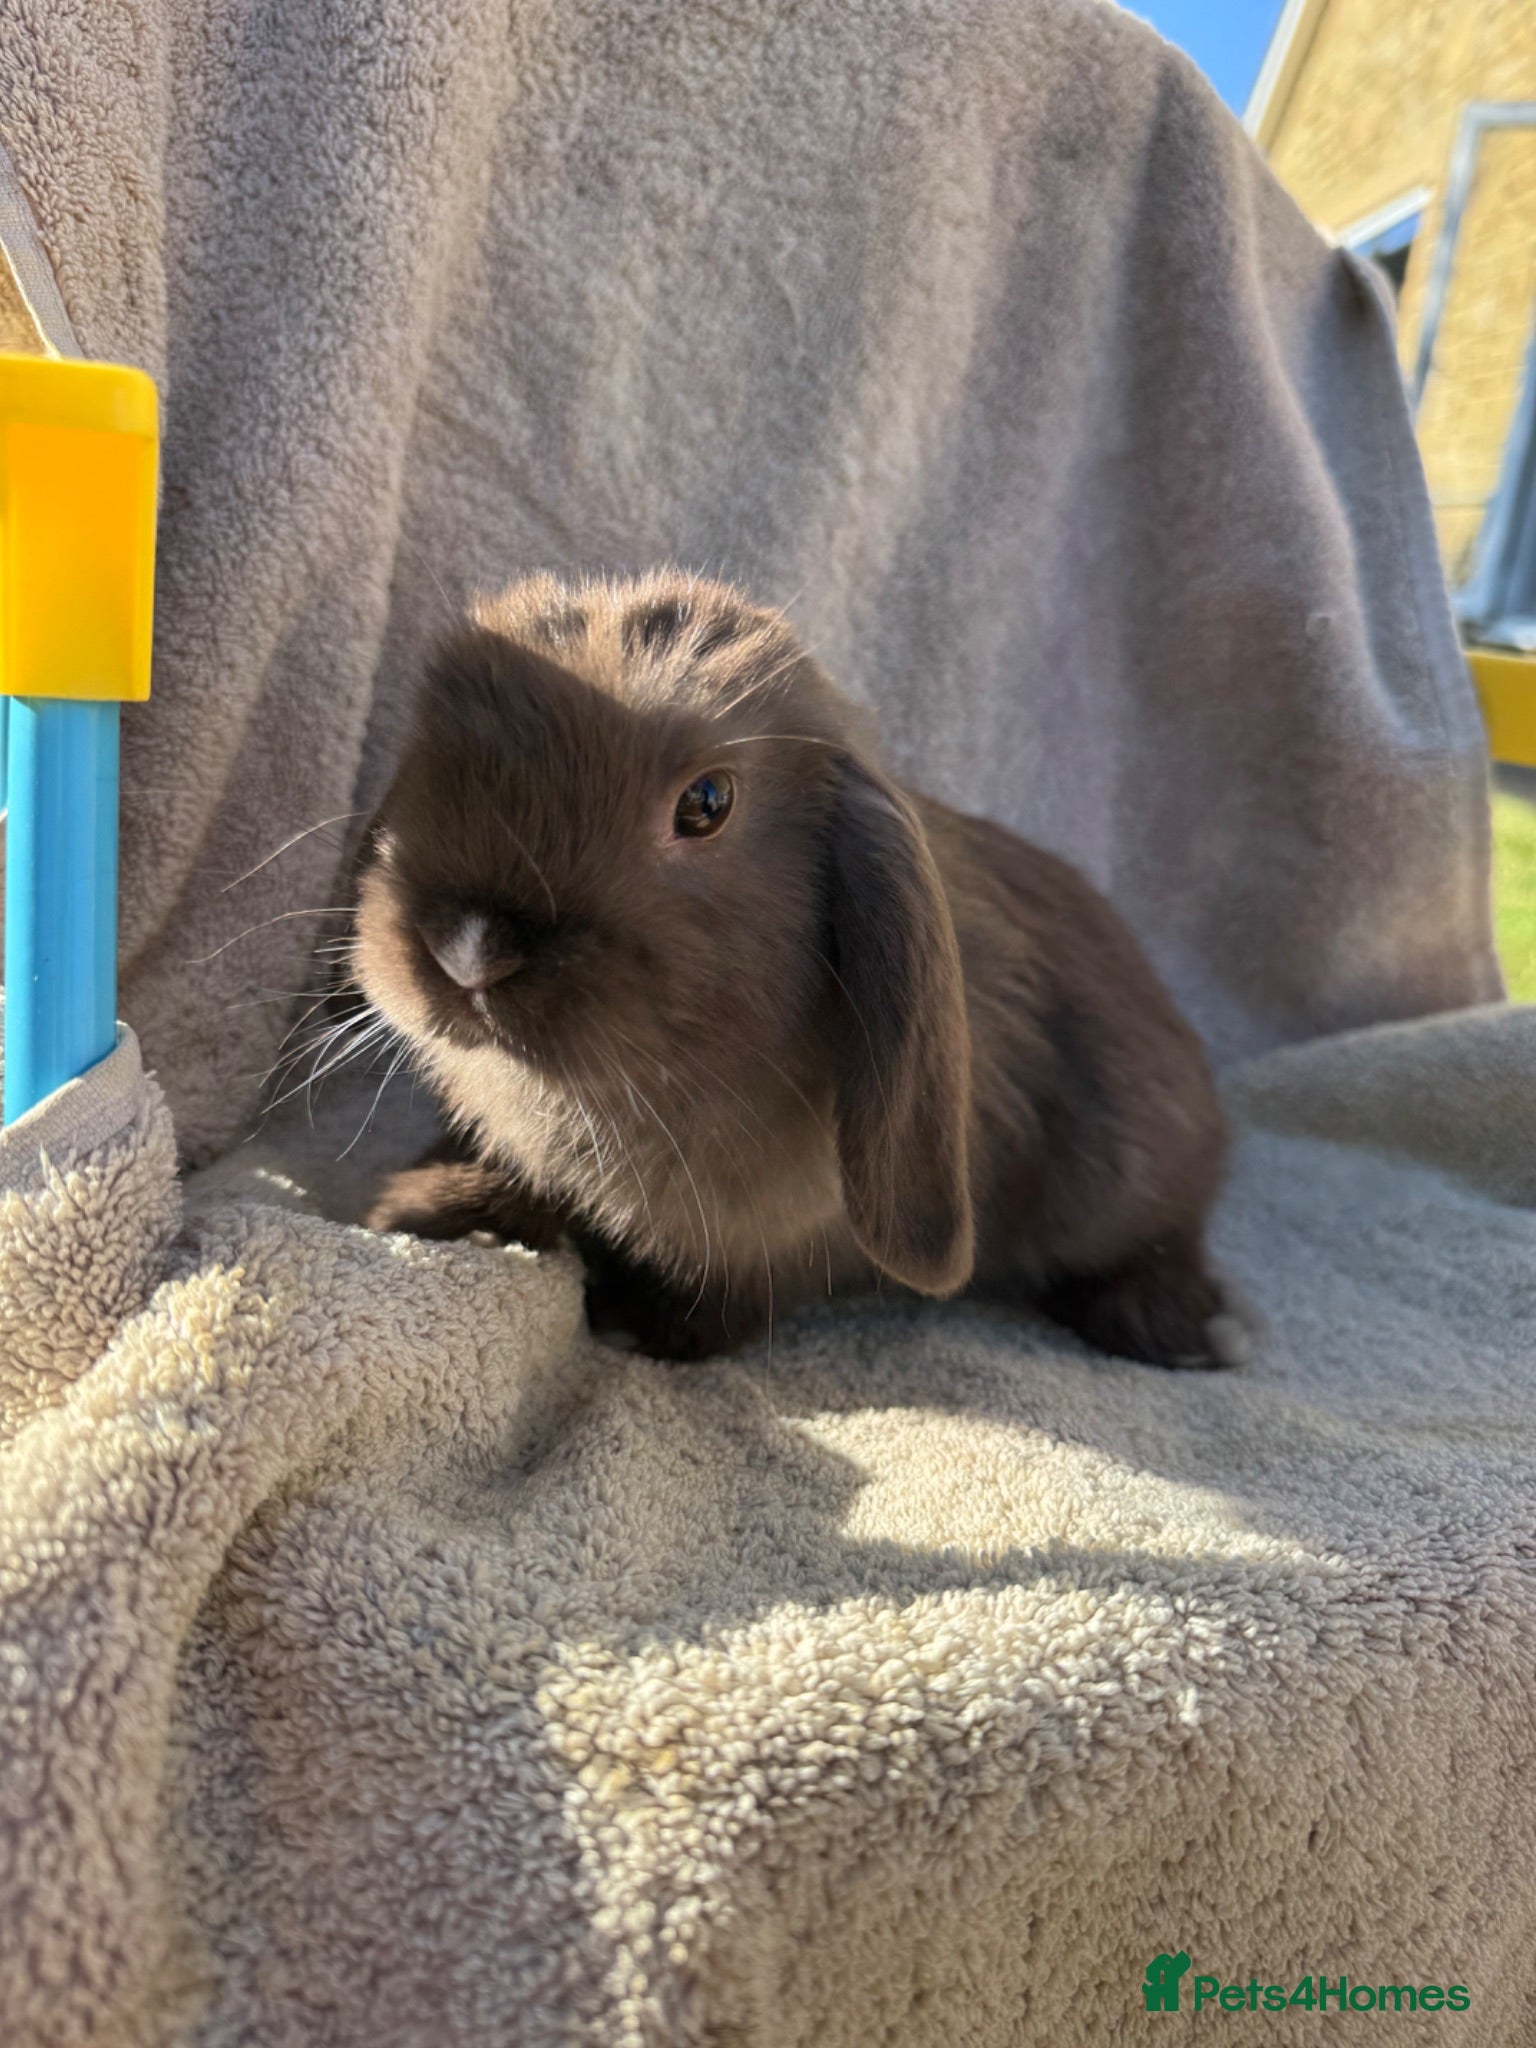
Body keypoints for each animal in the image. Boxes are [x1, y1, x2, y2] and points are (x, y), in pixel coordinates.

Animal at [352, 570, 1245, 1370]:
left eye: (706, 803)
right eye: (428, 755)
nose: (467, 952)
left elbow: (744, 1290)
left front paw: (642, 1322)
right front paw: (429, 1209)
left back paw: (1168, 1328)